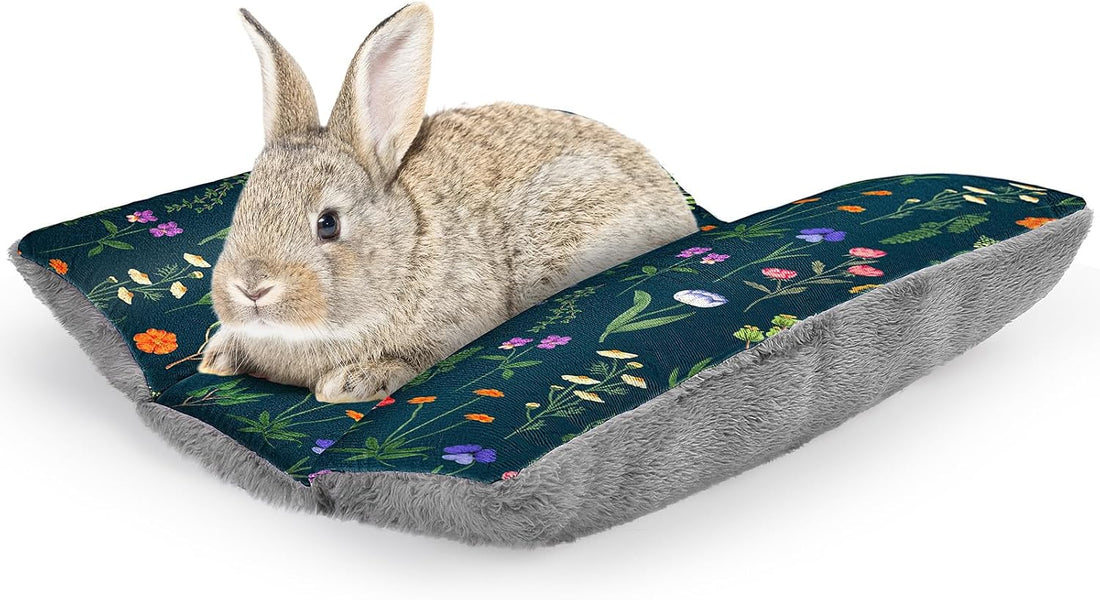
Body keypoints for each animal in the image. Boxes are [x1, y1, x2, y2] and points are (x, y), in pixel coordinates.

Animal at [197, 3, 699, 403]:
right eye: (243, 209)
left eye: (328, 223)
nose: (252, 288)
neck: (404, 249)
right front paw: (215, 356)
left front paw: (351, 383)